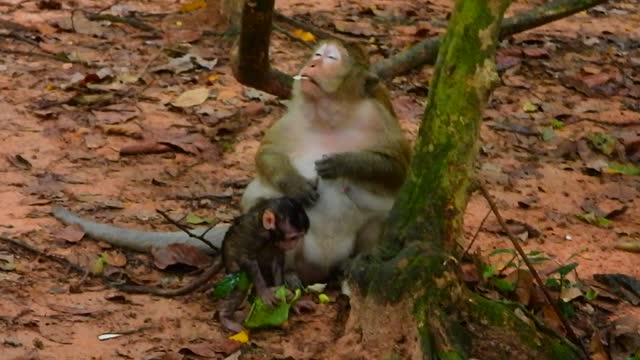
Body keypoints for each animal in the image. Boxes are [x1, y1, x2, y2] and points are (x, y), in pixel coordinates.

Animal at [51, 40, 410, 284]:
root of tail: (320, 269)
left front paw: (346, 162)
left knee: (379, 212)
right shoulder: (293, 116)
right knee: (265, 200)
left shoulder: (378, 117)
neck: (330, 114)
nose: (310, 67)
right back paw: (289, 274)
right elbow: (265, 154)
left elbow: (400, 169)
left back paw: (351, 265)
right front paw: (295, 184)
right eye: (316, 56)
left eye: (331, 58)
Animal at [219, 197, 312, 332]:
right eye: (293, 237)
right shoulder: (256, 234)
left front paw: (284, 294)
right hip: (230, 255)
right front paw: (264, 292)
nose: (295, 244)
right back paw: (225, 317)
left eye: (299, 237)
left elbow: (277, 261)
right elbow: (247, 258)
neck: (269, 234)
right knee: (241, 286)